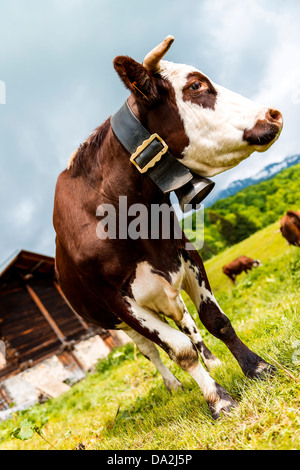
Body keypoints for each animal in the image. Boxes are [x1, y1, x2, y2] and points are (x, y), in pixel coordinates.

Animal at [52, 35, 282, 418]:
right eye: (195, 86)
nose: (273, 114)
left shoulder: (185, 255)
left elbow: (215, 320)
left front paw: (256, 366)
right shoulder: (119, 302)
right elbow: (178, 350)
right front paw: (218, 399)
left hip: (168, 295)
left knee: (189, 326)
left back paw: (214, 362)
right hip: (117, 323)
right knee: (151, 351)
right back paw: (173, 385)